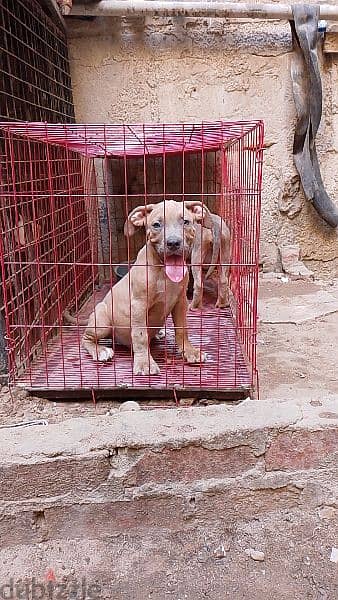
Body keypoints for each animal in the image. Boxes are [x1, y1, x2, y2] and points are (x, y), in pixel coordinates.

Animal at [66, 202, 209, 376]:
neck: (163, 272)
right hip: (102, 321)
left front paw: (189, 351)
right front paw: (145, 363)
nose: (173, 243)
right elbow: (140, 335)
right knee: (86, 338)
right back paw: (100, 351)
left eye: (186, 222)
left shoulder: (180, 302)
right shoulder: (138, 305)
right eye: (156, 225)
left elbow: (182, 329)